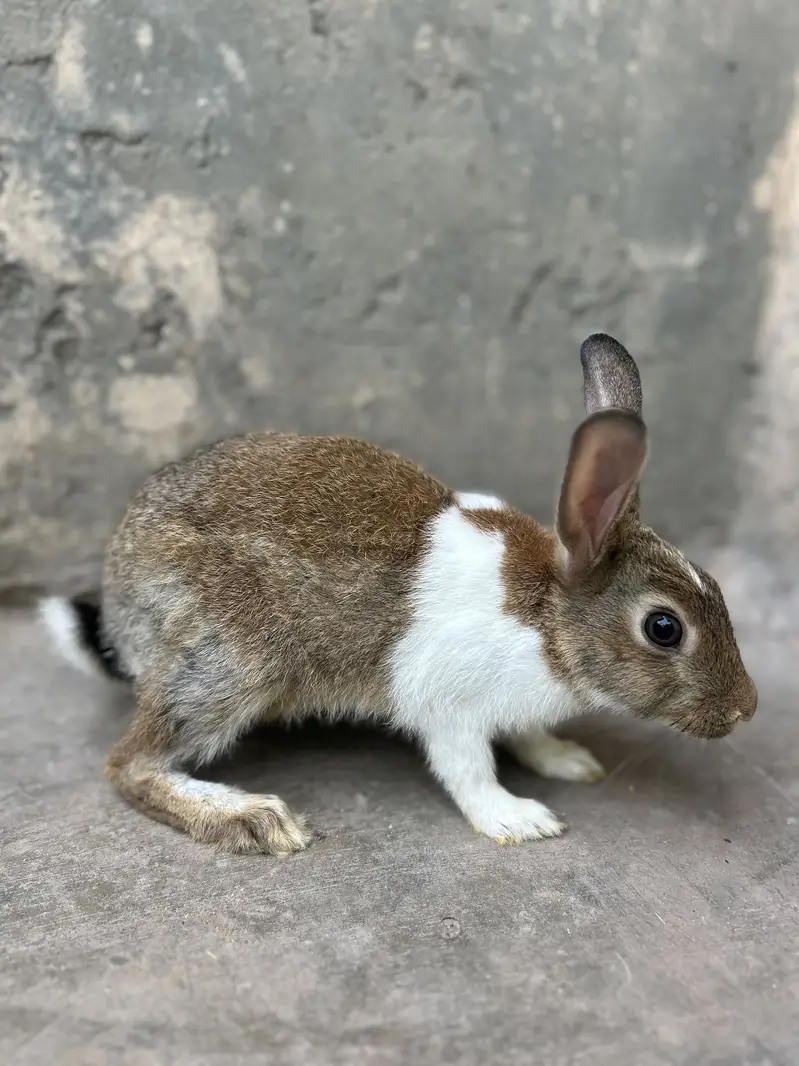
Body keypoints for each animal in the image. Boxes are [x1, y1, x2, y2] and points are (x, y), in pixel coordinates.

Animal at [41, 333, 757, 855]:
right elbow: (469, 768)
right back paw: (255, 819)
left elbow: (526, 734)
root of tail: (120, 606)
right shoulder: (448, 704)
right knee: (130, 765)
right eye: (664, 627)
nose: (745, 709)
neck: (549, 620)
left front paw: (568, 761)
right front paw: (519, 820)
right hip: (233, 662)